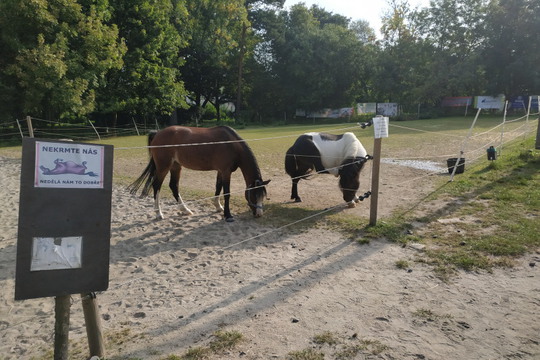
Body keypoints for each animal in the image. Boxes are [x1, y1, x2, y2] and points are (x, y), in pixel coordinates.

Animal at [127, 126, 270, 222]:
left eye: (263, 195)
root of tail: (158, 133)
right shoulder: (226, 171)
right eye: (254, 195)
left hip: (175, 166)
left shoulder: (220, 171)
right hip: (163, 167)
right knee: (157, 186)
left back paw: (185, 210)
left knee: (174, 186)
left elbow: (218, 188)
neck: (231, 144)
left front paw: (218, 207)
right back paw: (158, 213)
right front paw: (228, 215)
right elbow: (227, 193)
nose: (259, 214)